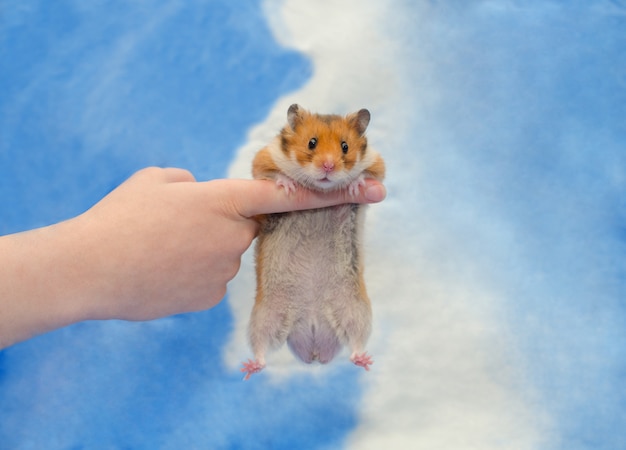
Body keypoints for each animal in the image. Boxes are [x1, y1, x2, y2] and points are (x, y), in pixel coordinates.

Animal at [240, 103, 382, 380]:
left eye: (345, 146)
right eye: (312, 142)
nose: (328, 166)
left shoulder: (377, 163)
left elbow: (370, 175)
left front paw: (355, 185)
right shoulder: (264, 158)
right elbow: (270, 173)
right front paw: (288, 185)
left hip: (356, 311)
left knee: (355, 342)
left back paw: (364, 361)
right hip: (264, 317)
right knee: (262, 348)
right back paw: (250, 367)